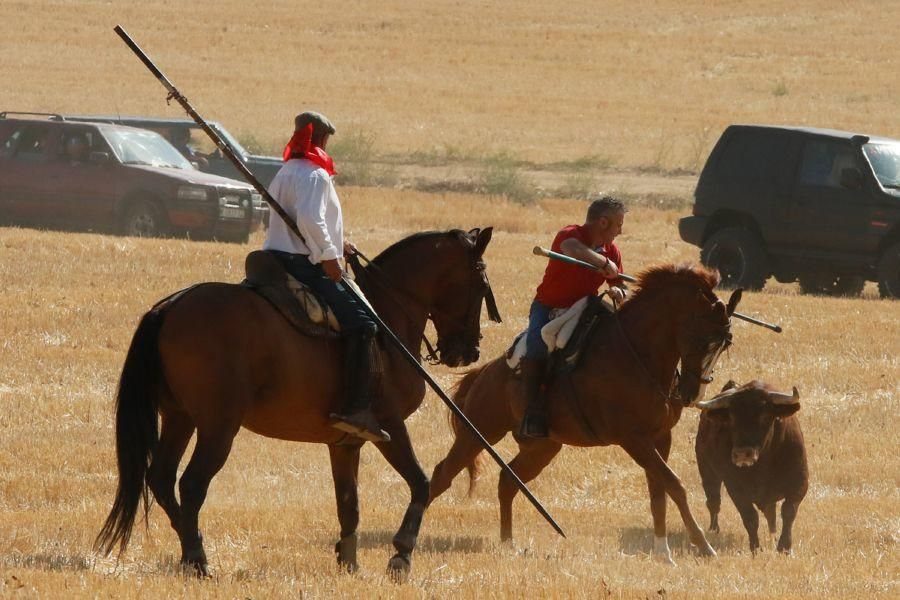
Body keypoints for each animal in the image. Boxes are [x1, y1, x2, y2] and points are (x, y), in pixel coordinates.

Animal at [96, 227, 500, 580]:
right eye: (481, 282)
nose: (469, 351)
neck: (387, 323)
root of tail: (170, 307)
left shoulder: (345, 443)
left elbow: (349, 504)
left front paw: (349, 563)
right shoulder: (390, 425)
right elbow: (421, 483)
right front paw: (400, 555)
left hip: (180, 417)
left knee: (161, 478)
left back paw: (188, 548)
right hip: (217, 426)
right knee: (192, 484)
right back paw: (198, 560)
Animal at [428, 264, 740, 564]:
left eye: (725, 344)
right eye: (702, 340)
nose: (692, 393)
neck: (637, 354)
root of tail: (485, 372)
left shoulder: (660, 437)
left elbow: (659, 492)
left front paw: (663, 551)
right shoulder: (634, 440)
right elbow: (675, 485)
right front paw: (703, 545)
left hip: (543, 447)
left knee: (507, 481)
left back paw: (508, 543)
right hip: (478, 432)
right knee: (443, 474)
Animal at [692, 382, 812, 556]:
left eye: (765, 415)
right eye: (731, 417)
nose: (742, 453)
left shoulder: (799, 483)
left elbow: (788, 511)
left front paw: (784, 547)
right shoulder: (736, 489)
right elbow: (750, 517)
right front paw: (755, 548)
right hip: (708, 472)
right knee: (714, 502)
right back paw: (714, 529)